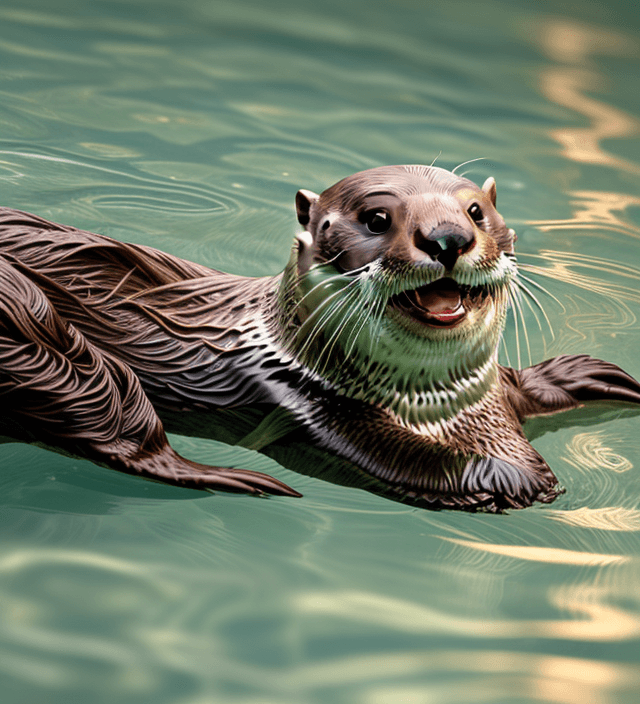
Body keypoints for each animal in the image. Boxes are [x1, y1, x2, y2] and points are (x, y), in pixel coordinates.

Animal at [1, 164, 639, 512]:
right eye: (377, 219)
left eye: (477, 212)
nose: (448, 237)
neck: (445, 408)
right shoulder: (302, 402)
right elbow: (391, 458)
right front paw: (508, 478)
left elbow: (517, 388)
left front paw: (581, 375)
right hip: (34, 338)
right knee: (113, 427)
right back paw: (235, 480)